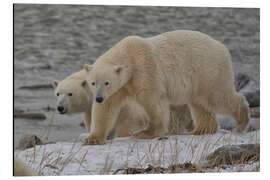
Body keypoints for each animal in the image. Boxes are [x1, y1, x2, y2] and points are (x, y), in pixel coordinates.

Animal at [83, 29, 250, 145]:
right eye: (93, 83)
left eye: (107, 82)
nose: (99, 98)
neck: (128, 54)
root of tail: (222, 47)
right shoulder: (121, 86)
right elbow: (106, 108)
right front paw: (93, 139)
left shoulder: (144, 68)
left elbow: (153, 100)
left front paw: (144, 132)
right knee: (200, 103)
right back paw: (200, 130)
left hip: (207, 69)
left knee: (217, 96)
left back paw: (241, 121)